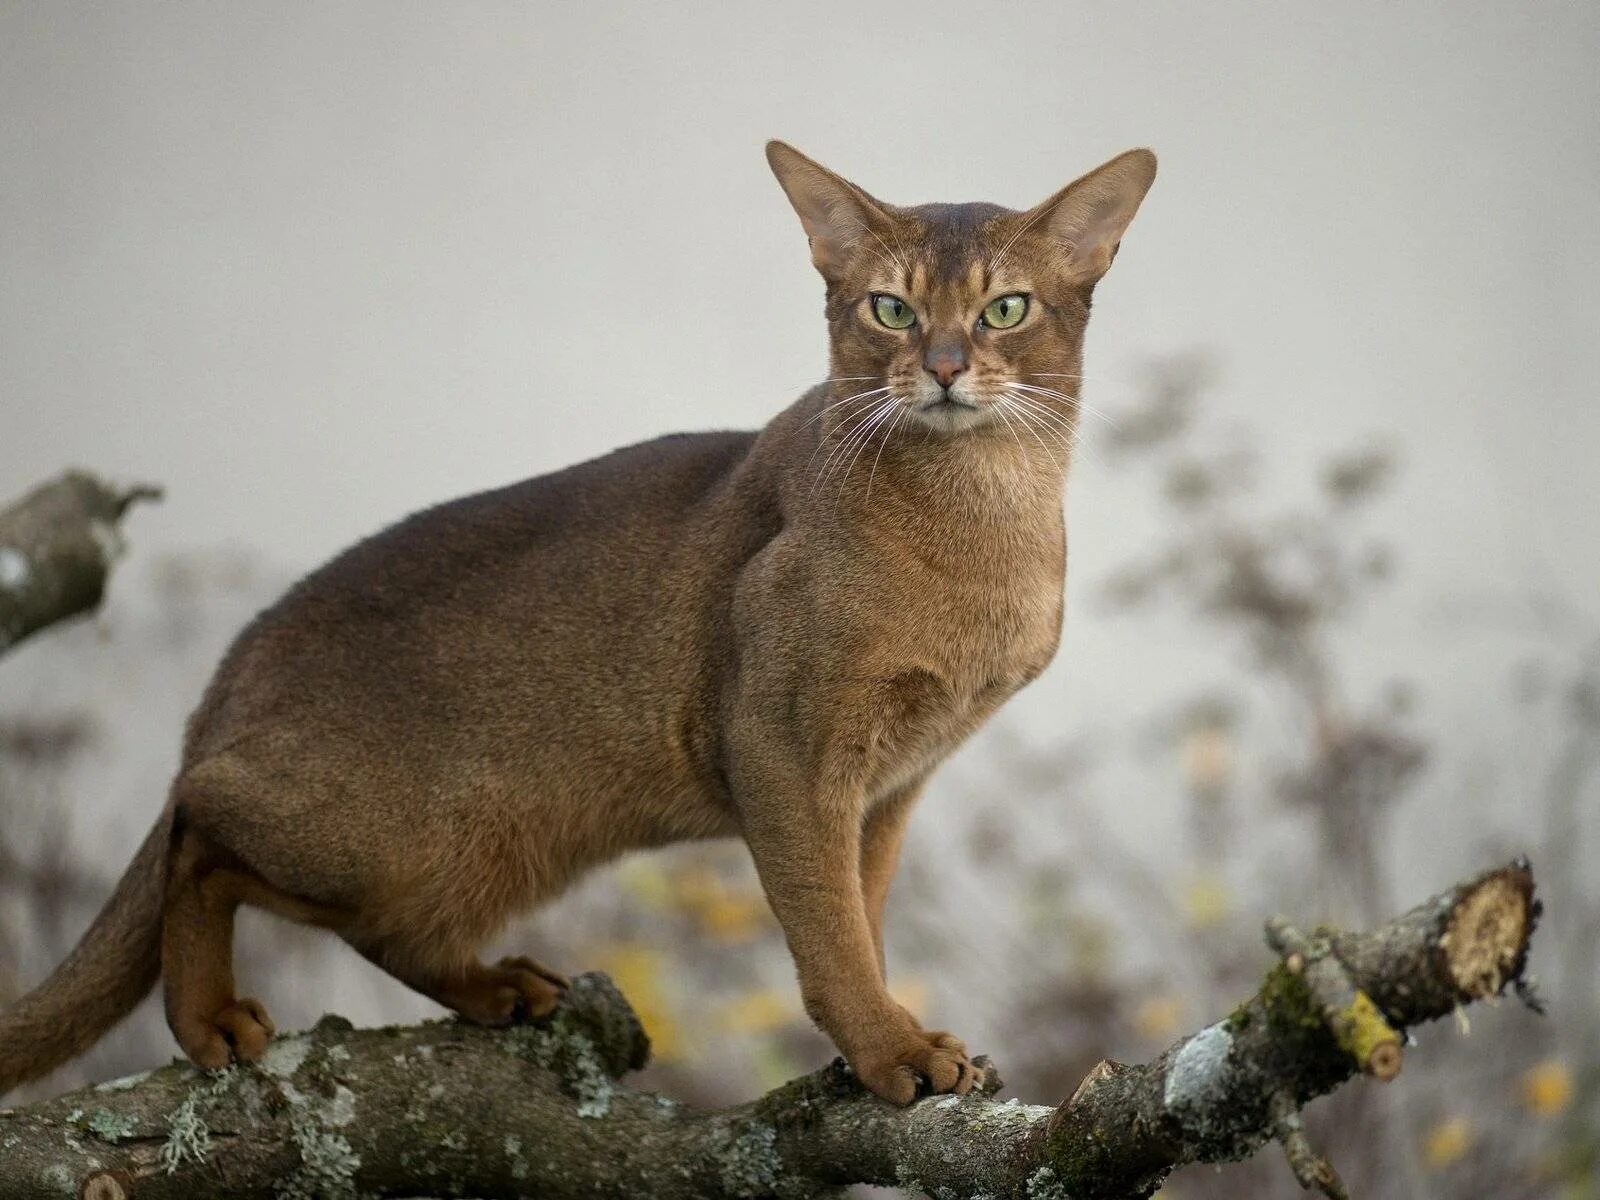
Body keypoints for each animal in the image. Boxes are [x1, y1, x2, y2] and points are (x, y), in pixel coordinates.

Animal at [0, 136, 1158, 1107]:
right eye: (890, 310)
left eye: (1004, 309)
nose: (947, 367)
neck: (982, 524)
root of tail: (237, 664)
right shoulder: (782, 747)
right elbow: (828, 933)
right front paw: (890, 1052)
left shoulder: (891, 785)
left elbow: (860, 921)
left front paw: (878, 1040)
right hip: (380, 835)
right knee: (199, 834)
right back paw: (206, 1019)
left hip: (464, 855)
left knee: (371, 925)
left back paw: (494, 987)